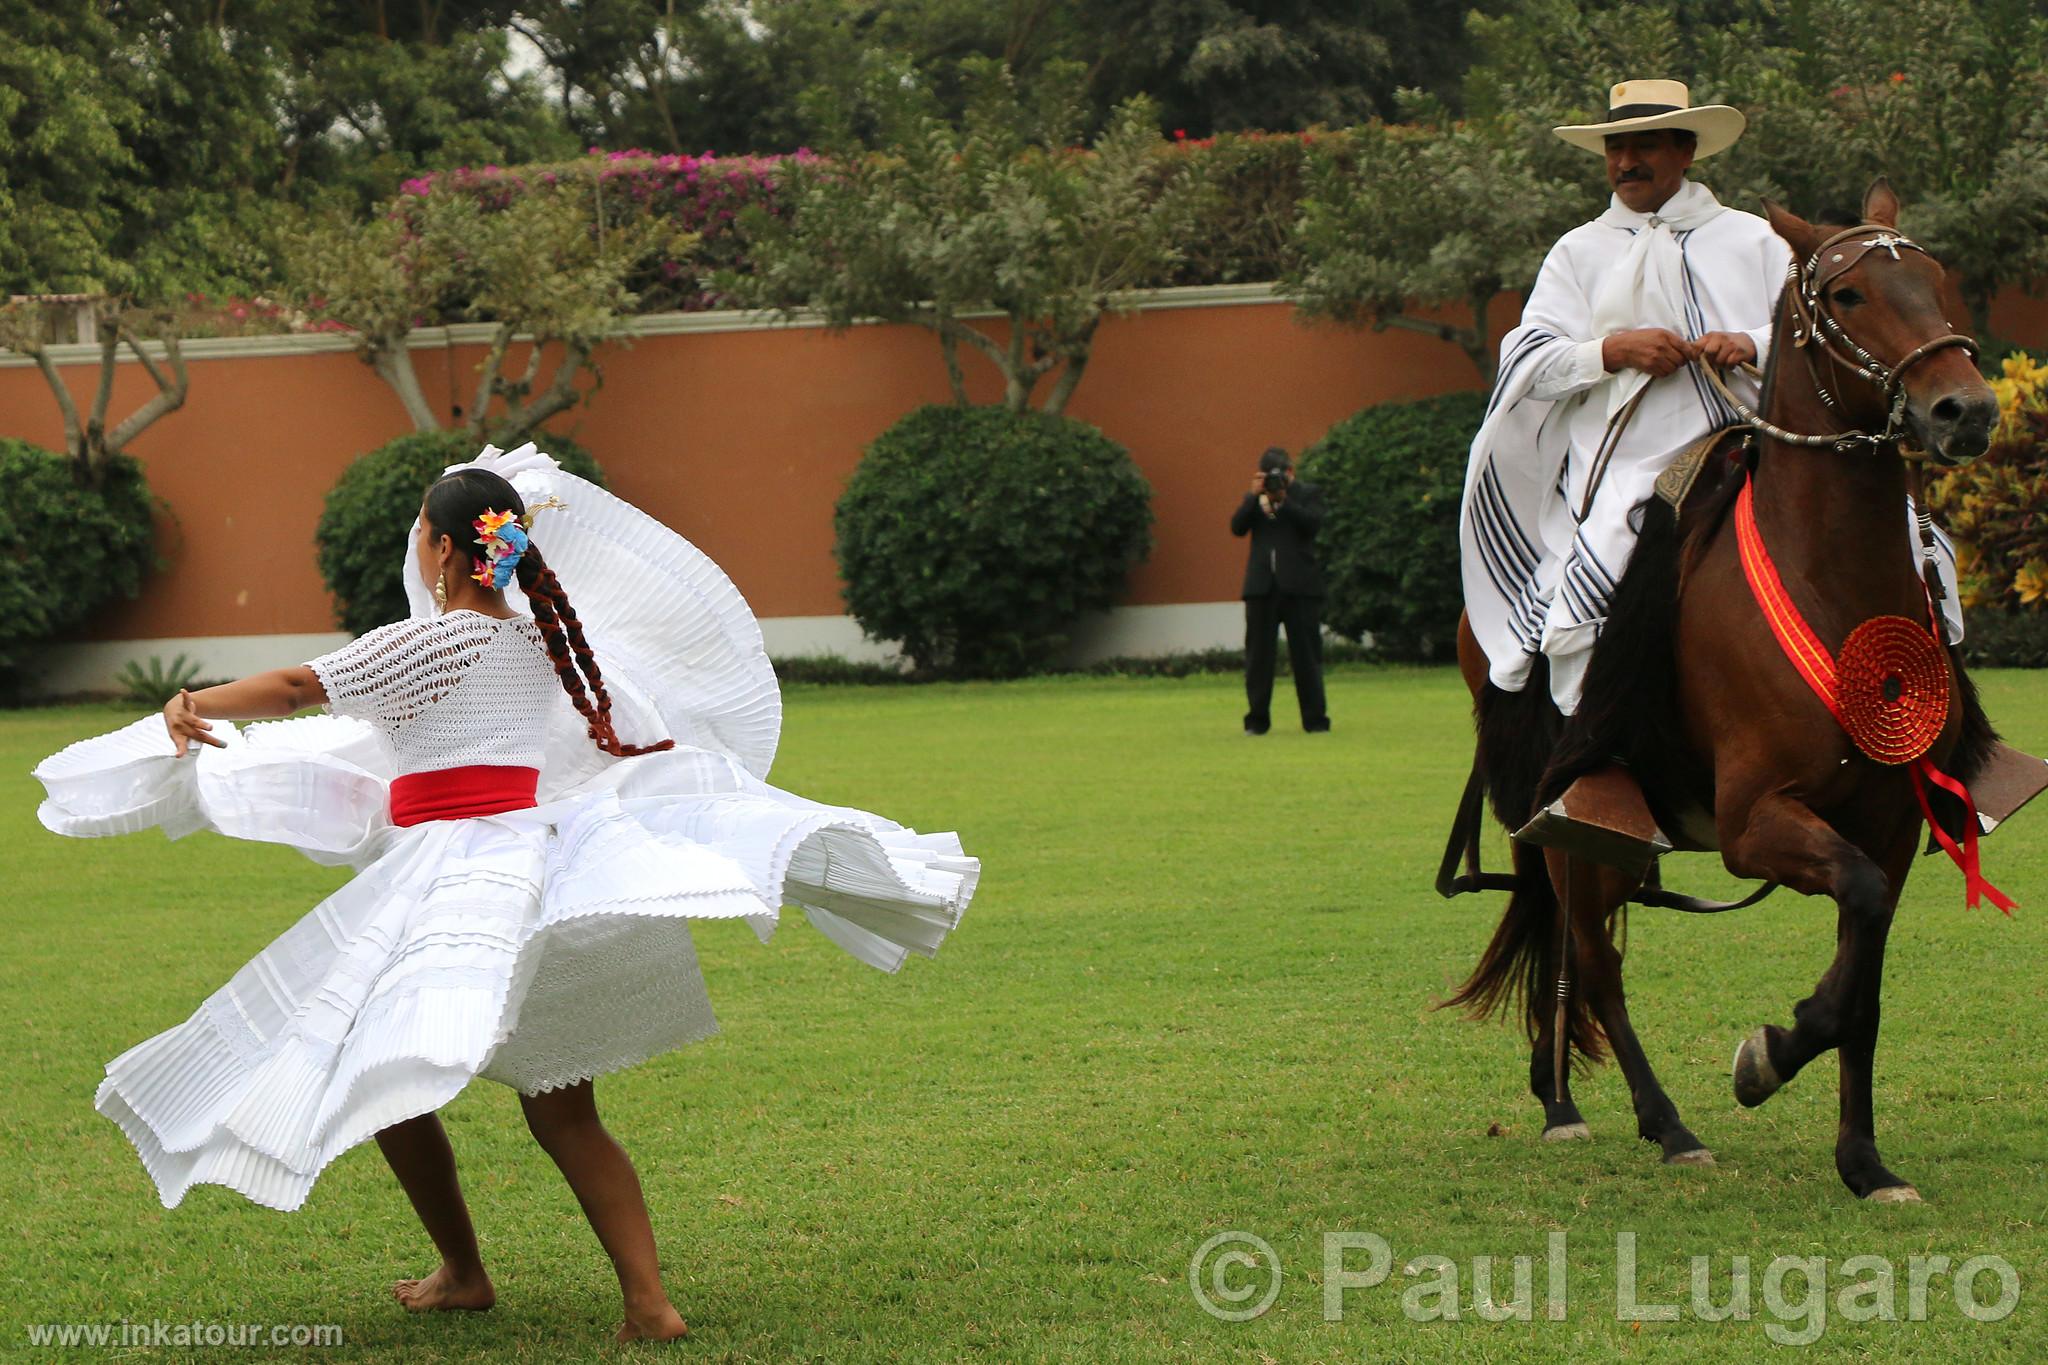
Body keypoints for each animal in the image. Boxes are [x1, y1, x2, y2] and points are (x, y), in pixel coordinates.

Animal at [1458, 175, 1998, 1203]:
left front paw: (1864, 1161)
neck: (1829, 580)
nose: (1966, 408)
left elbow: (1865, 979)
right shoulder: (1756, 823)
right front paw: (1767, 1057)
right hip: (1576, 828)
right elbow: (1855, 913)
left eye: (1940, 279)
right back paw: (1661, 1123)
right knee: (1591, 962)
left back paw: (1569, 1098)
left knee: (1578, 952)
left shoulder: (1890, 826)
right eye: (1848, 295)